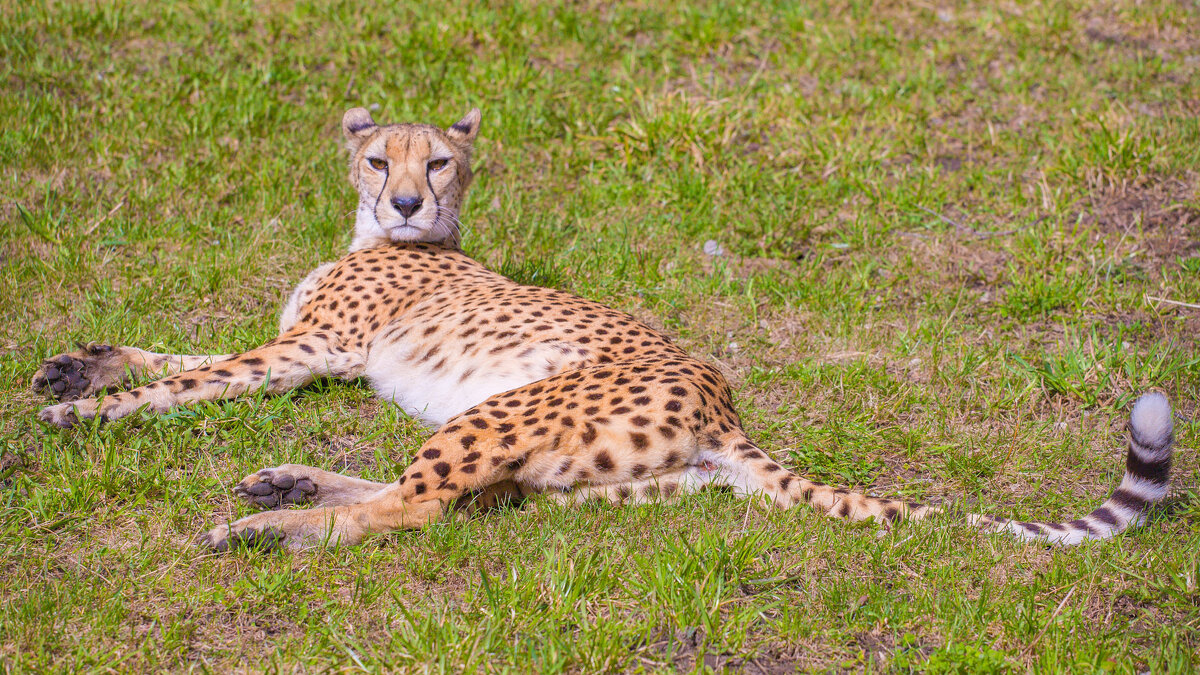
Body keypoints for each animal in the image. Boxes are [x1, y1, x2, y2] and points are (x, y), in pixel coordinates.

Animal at [32, 106, 1176, 547]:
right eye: (377, 158)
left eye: (436, 162)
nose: (403, 204)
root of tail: (724, 408)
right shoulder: (307, 353)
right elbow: (179, 354)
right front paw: (74, 369)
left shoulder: (311, 351)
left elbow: (188, 378)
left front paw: (86, 415)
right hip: (561, 461)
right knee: (444, 499)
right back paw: (287, 487)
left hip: (506, 410)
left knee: (412, 509)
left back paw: (267, 529)